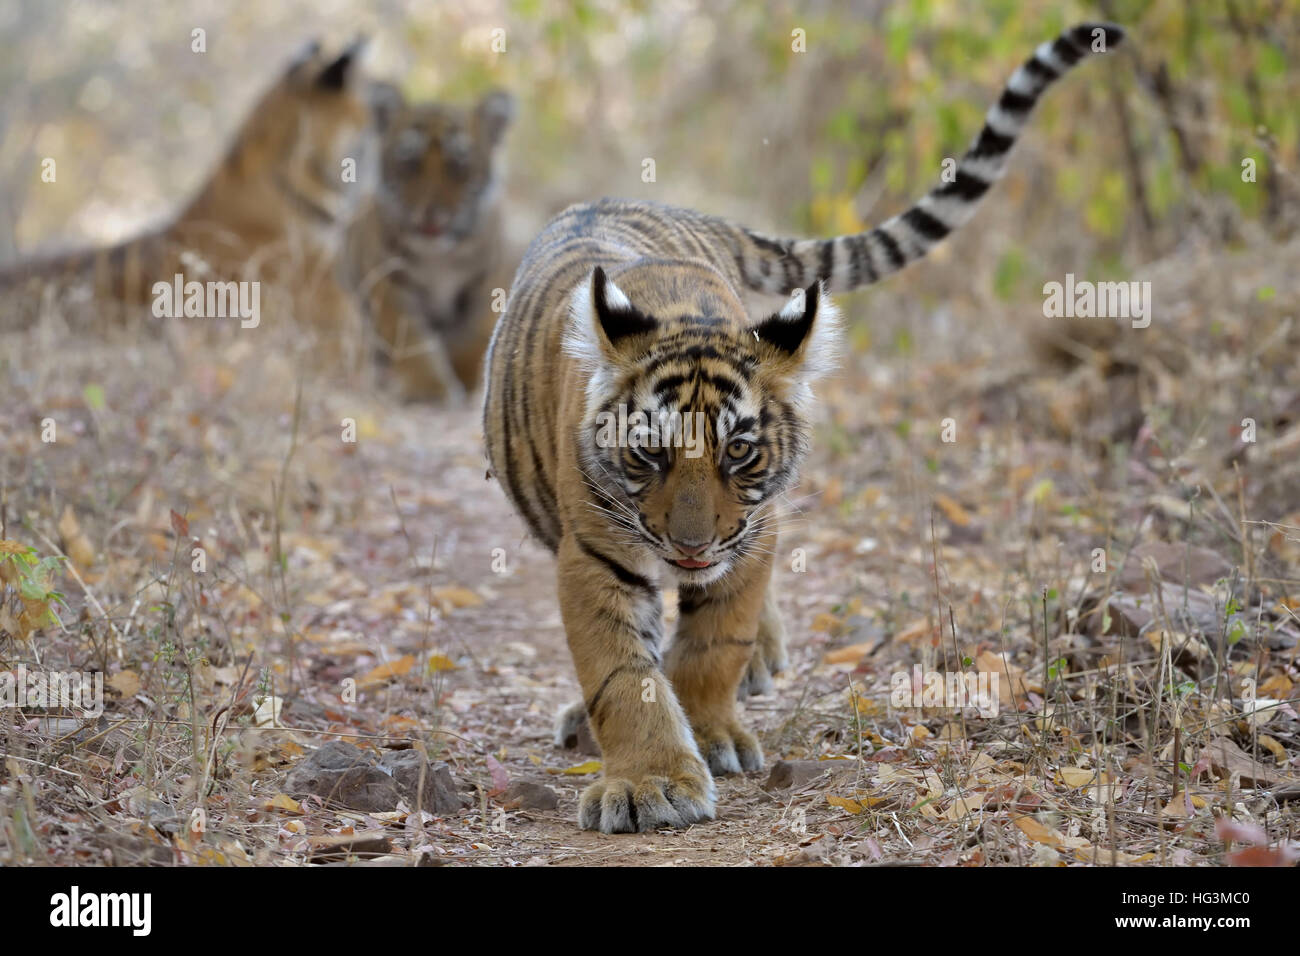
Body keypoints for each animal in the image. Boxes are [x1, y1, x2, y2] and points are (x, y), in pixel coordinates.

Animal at [345, 81, 517, 403]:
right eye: (410, 163)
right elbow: (414, 341)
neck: (439, 258)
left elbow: (474, 336)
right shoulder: (390, 283)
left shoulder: (488, 282)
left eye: (458, 166)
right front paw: (432, 389)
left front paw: (472, 380)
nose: (431, 212)